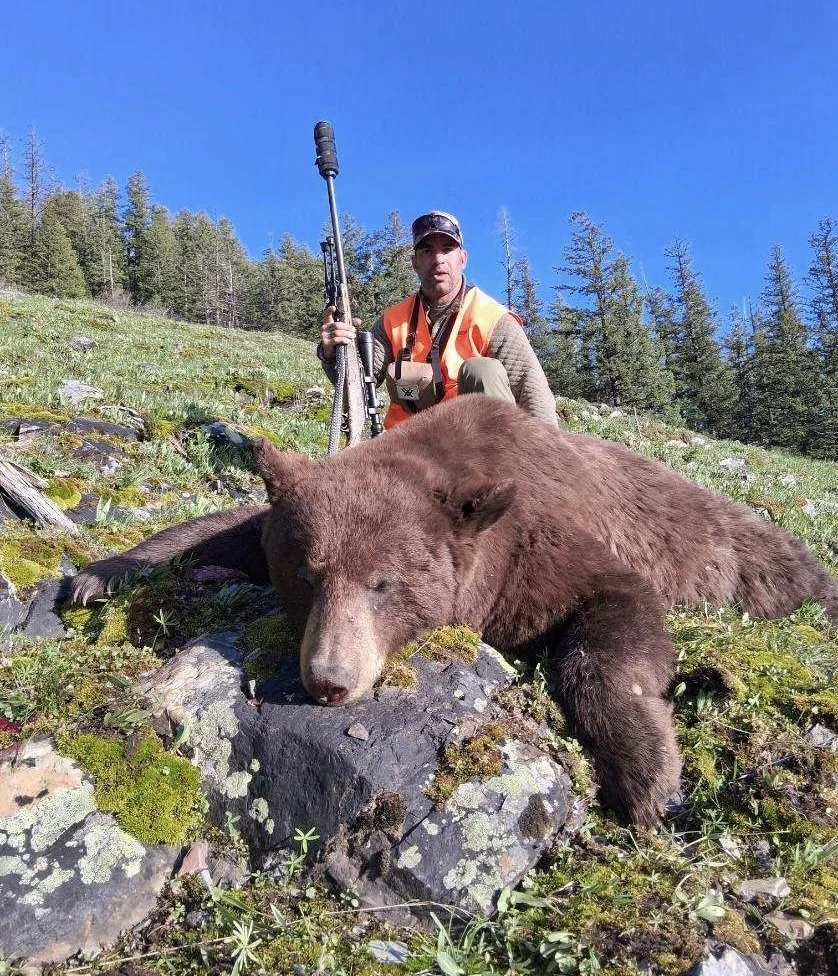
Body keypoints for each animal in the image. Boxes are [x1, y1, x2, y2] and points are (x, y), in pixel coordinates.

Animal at [70, 395, 838, 826]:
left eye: (383, 584)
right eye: (308, 575)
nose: (329, 680)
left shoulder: (529, 548)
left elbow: (614, 613)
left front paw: (646, 774)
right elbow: (220, 526)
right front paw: (100, 574)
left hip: (753, 564)